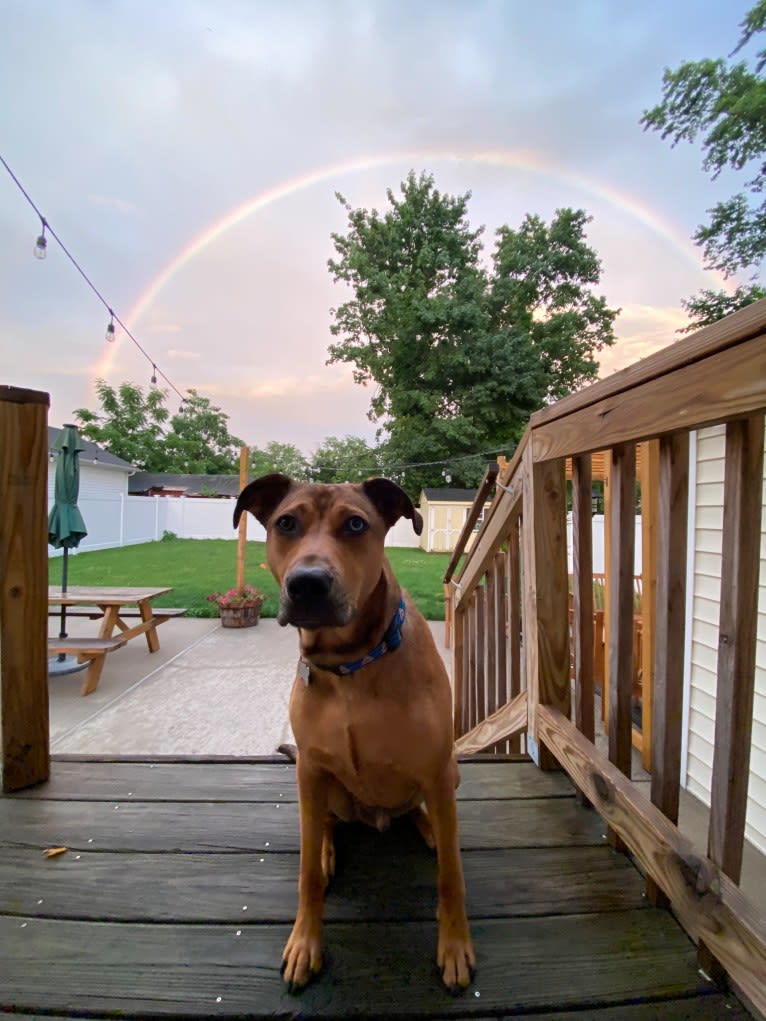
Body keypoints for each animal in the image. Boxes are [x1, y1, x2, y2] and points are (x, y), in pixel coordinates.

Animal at [235, 475, 473, 988]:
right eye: (286, 522)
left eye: (357, 524)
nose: (307, 582)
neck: (352, 664)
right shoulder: (309, 768)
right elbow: (305, 872)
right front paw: (305, 943)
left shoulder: (437, 768)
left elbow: (451, 875)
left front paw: (455, 945)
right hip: (321, 785)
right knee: (325, 823)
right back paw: (328, 847)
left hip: (451, 771)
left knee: (420, 811)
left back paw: (429, 826)